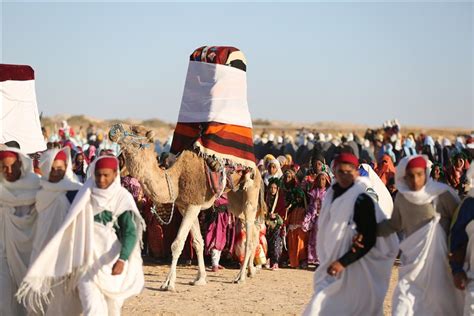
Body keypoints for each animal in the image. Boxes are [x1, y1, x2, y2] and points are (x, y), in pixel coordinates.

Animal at [108, 123, 266, 292]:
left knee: (249, 234)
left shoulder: (193, 204)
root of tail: (257, 169)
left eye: (136, 130)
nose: (114, 129)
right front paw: (200, 279)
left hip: (250, 191)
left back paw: (240, 277)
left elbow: (177, 244)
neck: (175, 177)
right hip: (235, 200)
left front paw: (168, 284)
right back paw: (251, 271)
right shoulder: (184, 207)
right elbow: (198, 242)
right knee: (254, 230)